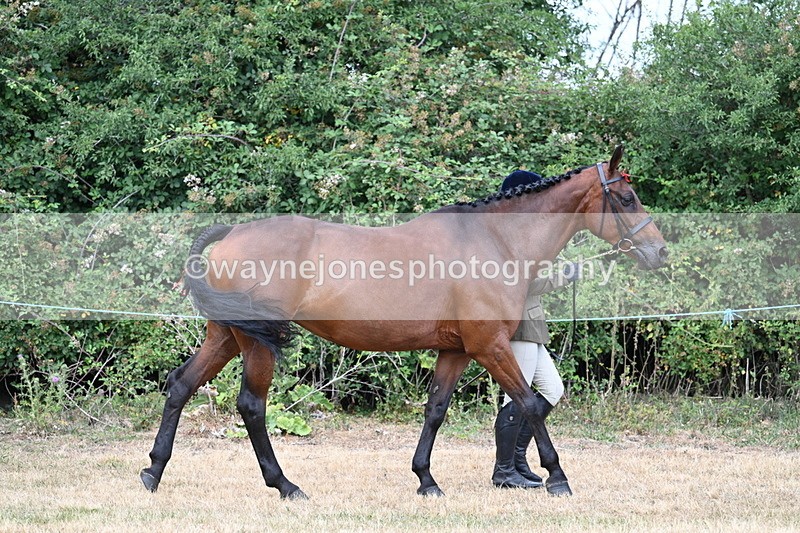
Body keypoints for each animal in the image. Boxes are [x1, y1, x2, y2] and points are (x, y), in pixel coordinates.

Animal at [140, 145, 668, 499]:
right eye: (626, 198)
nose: (659, 252)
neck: (496, 241)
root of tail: (232, 232)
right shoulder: (491, 346)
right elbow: (530, 405)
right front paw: (557, 477)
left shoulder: (456, 350)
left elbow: (436, 411)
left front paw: (426, 479)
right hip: (256, 344)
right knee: (251, 405)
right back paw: (285, 485)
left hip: (227, 337)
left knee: (181, 384)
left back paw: (153, 472)